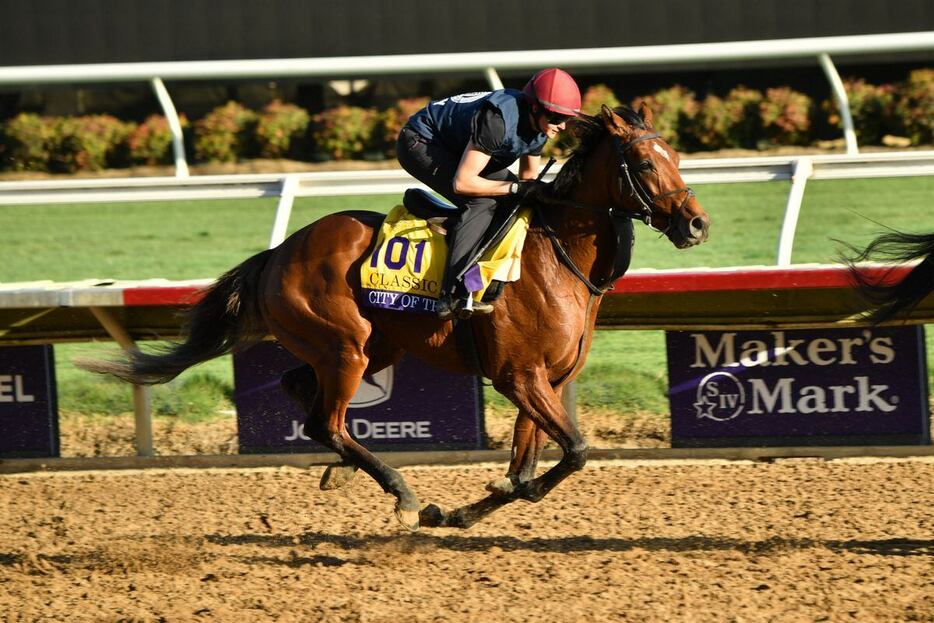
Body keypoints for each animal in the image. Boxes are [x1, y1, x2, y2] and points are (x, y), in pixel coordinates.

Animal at [80, 103, 712, 532]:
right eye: (642, 162)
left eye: (677, 158)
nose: (697, 224)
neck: (555, 257)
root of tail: (277, 253)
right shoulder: (519, 377)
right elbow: (574, 452)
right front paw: (444, 506)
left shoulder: (546, 382)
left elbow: (526, 469)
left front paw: (461, 512)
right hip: (345, 346)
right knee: (325, 421)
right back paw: (399, 493)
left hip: (372, 345)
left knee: (300, 389)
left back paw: (346, 469)